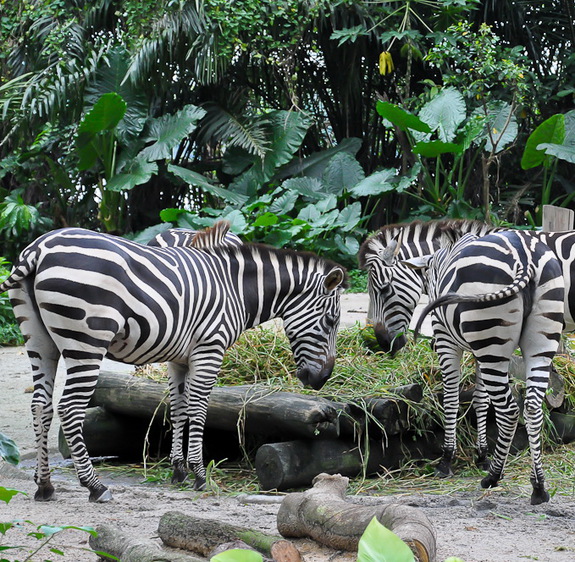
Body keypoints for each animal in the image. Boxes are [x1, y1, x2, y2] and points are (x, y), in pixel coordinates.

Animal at [1, 219, 346, 498]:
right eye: (331, 321)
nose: (322, 379)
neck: (234, 288)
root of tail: (38, 249)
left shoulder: (179, 357)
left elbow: (177, 407)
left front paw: (178, 470)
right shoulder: (209, 348)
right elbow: (198, 408)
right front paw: (199, 474)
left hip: (40, 342)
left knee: (41, 405)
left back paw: (45, 485)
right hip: (86, 342)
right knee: (69, 408)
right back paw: (94, 486)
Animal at [404, 230, 564, 506]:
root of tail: (524, 254)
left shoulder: (446, 340)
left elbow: (452, 399)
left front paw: (446, 460)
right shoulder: (479, 353)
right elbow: (481, 400)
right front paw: (481, 455)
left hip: (490, 340)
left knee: (510, 410)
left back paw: (494, 477)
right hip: (534, 344)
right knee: (532, 408)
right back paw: (539, 487)